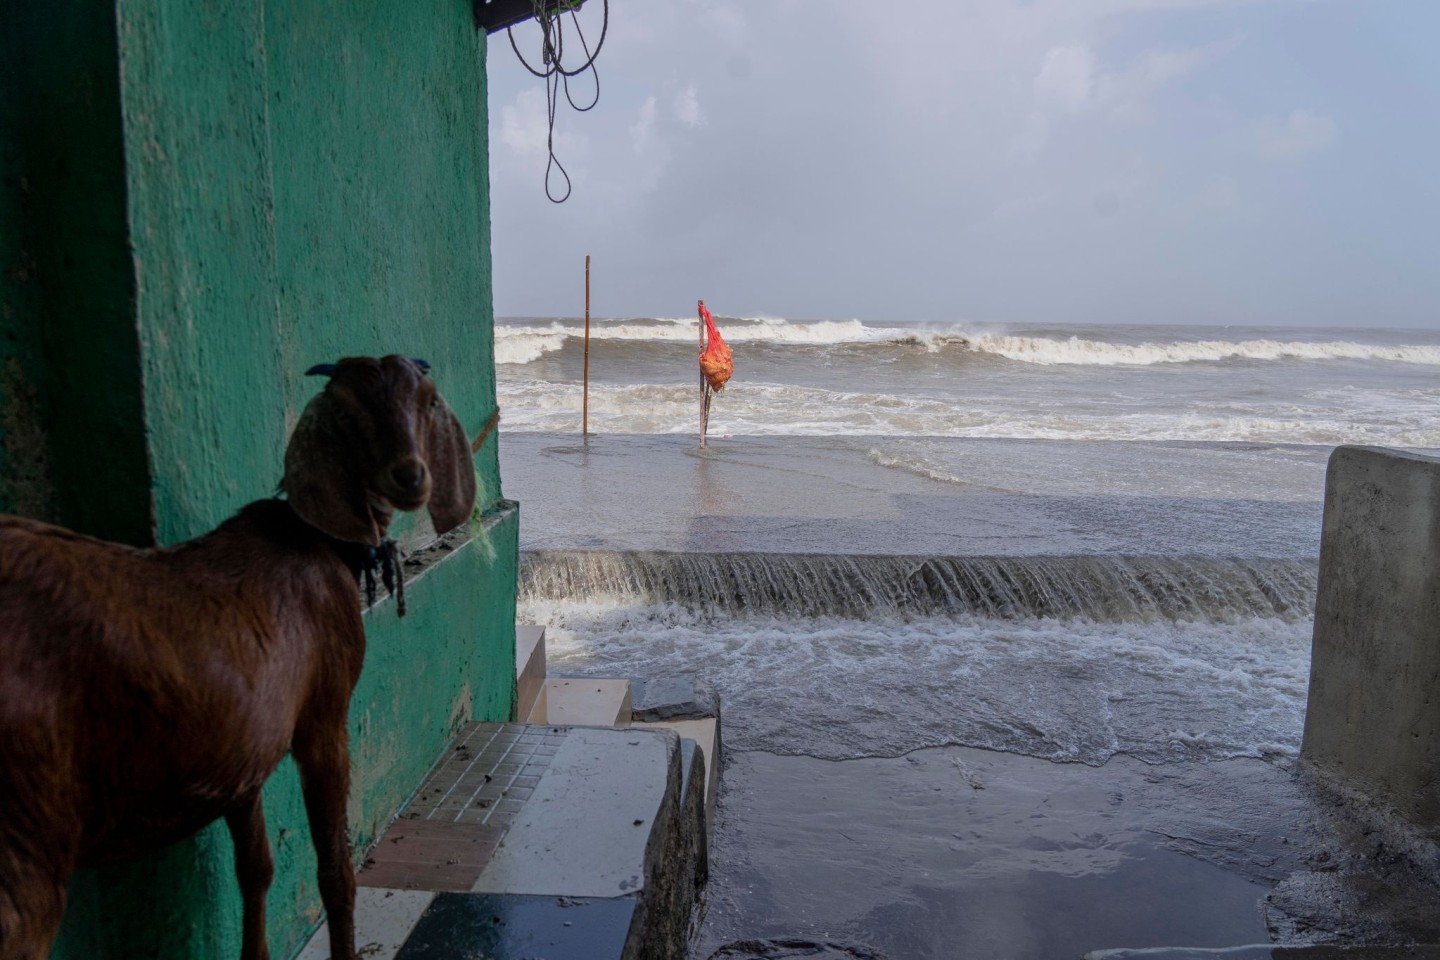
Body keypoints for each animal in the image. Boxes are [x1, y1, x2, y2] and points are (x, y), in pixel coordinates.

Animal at [0, 356, 480, 960]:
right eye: (346, 413)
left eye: (427, 399)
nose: (410, 476)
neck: (315, 540)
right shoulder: (322, 717)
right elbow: (335, 870)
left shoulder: (243, 754)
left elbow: (256, 868)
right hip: (26, 838)